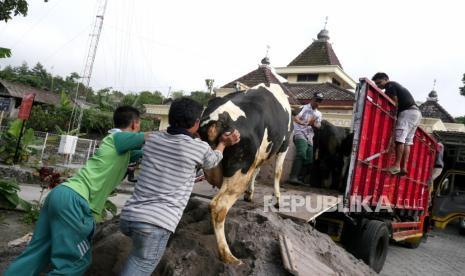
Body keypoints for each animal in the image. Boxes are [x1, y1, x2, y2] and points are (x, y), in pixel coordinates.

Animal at [198, 83, 292, 266]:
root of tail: (216, 119)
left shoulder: (259, 156)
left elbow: (257, 171)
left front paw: (249, 194)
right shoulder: (284, 145)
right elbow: (277, 171)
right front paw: (277, 199)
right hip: (241, 168)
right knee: (219, 206)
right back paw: (229, 256)